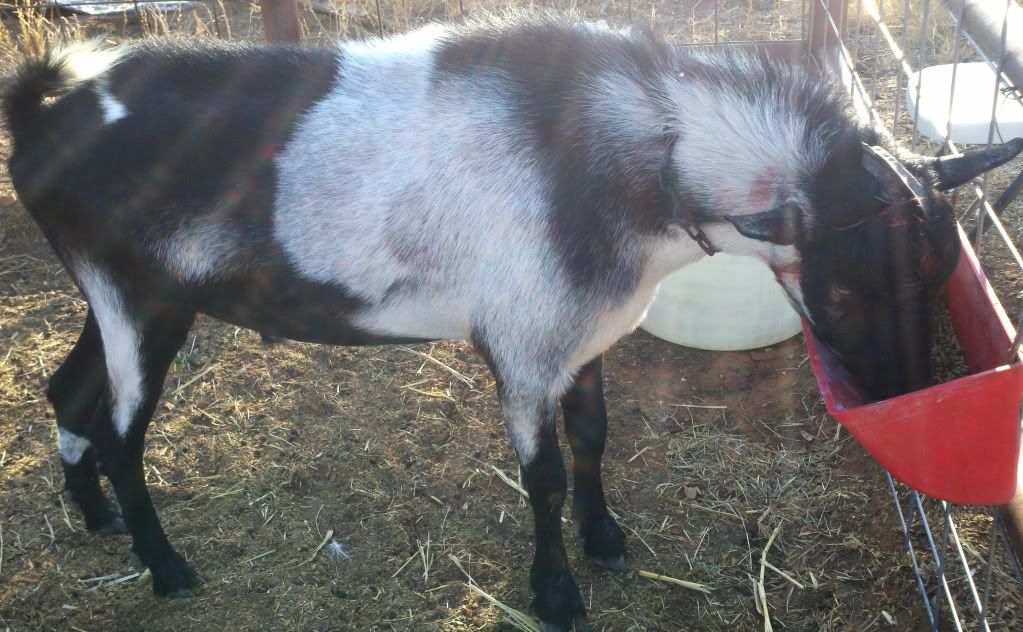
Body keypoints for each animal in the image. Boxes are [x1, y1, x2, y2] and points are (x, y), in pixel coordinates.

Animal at [5, 15, 1021, 631]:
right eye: (842, 296)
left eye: (939, 274)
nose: (899, 395)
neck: (633, 164)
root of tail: (41, 114)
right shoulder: (526, 342)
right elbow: (542, 477)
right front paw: (557, 590)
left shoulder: (581, 332)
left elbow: (594, 436)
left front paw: (606, 543)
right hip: (136, 295)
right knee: (121, 428)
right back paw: (165, 565)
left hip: (128, 295)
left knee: (70, 392)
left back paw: (93, 515)